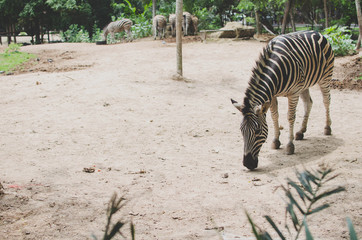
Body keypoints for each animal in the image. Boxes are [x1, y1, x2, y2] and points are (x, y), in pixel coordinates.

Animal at [232, 31, 334, 171]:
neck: (275, 68)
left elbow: (290, 117)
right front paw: (276, 141)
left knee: (326, 101)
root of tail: (316, 32)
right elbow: (274, 116)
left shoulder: (294, 93)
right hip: (305, 84)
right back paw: (301, 132)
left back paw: (327, 128)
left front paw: (290, 146)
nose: (248, 164)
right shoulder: (272, 95)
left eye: (258, 131)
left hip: (325, 78)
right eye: (241, 131)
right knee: (308, 103)